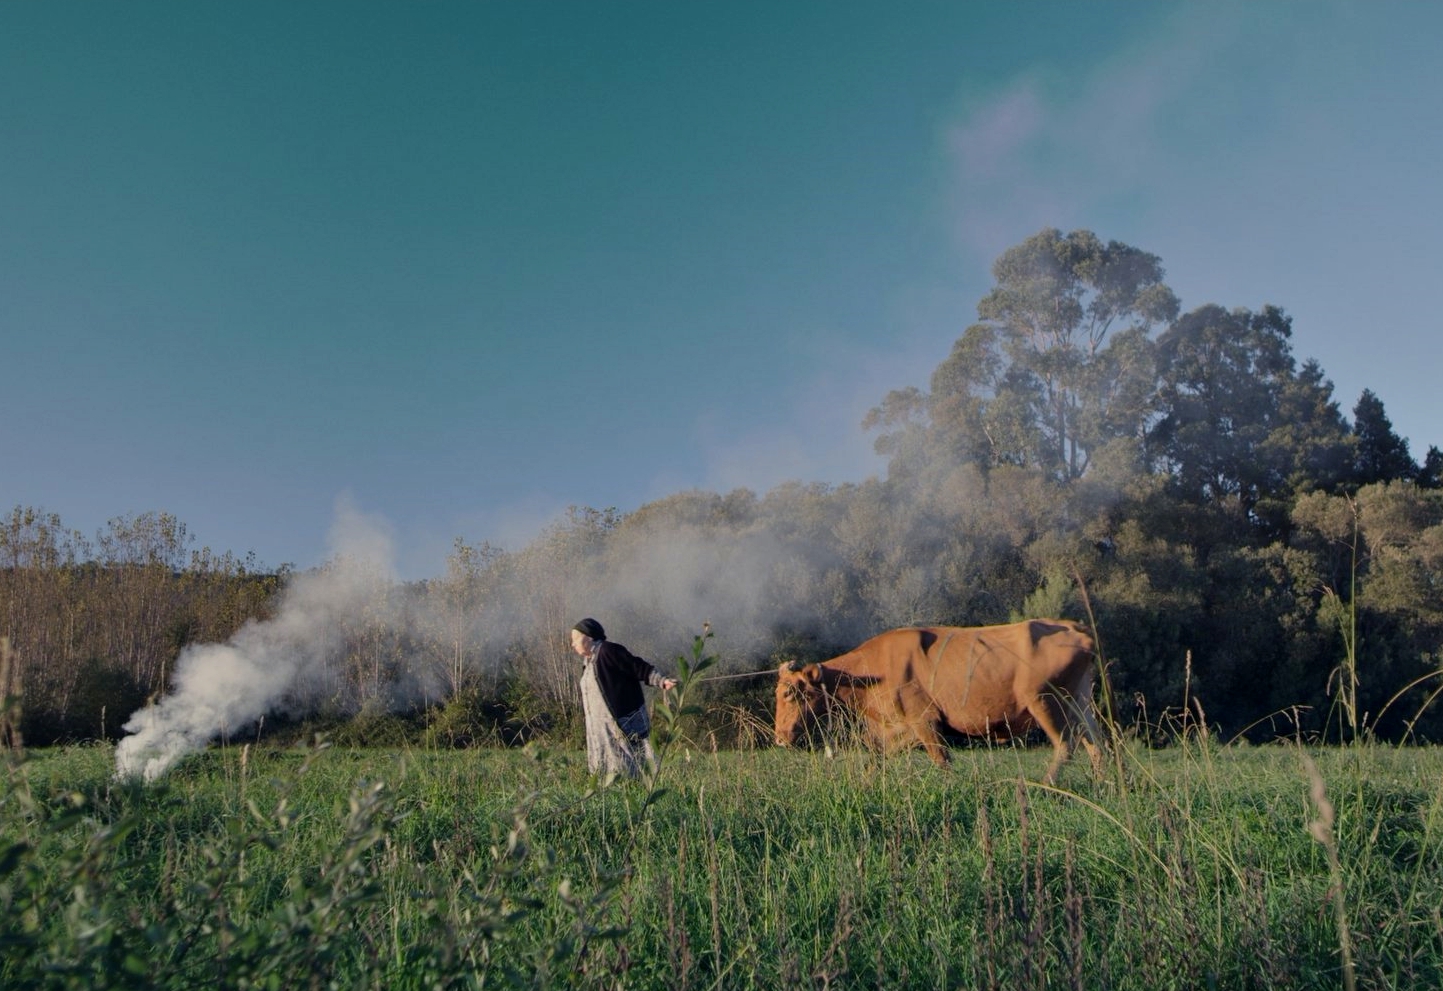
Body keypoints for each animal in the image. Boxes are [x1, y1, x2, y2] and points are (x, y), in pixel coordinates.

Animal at [774, 619, 1106, 783]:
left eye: (790, 694)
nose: (778, 737)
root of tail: (1073, 626)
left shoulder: (925, 720)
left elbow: (941, 760)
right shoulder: (899, 727)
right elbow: (875, 761)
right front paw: (863, 787)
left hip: (1046, 700)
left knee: (1066, 744)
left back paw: (1046, 785)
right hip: (1080, 701)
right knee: (1096, 744)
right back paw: (1104, 786)